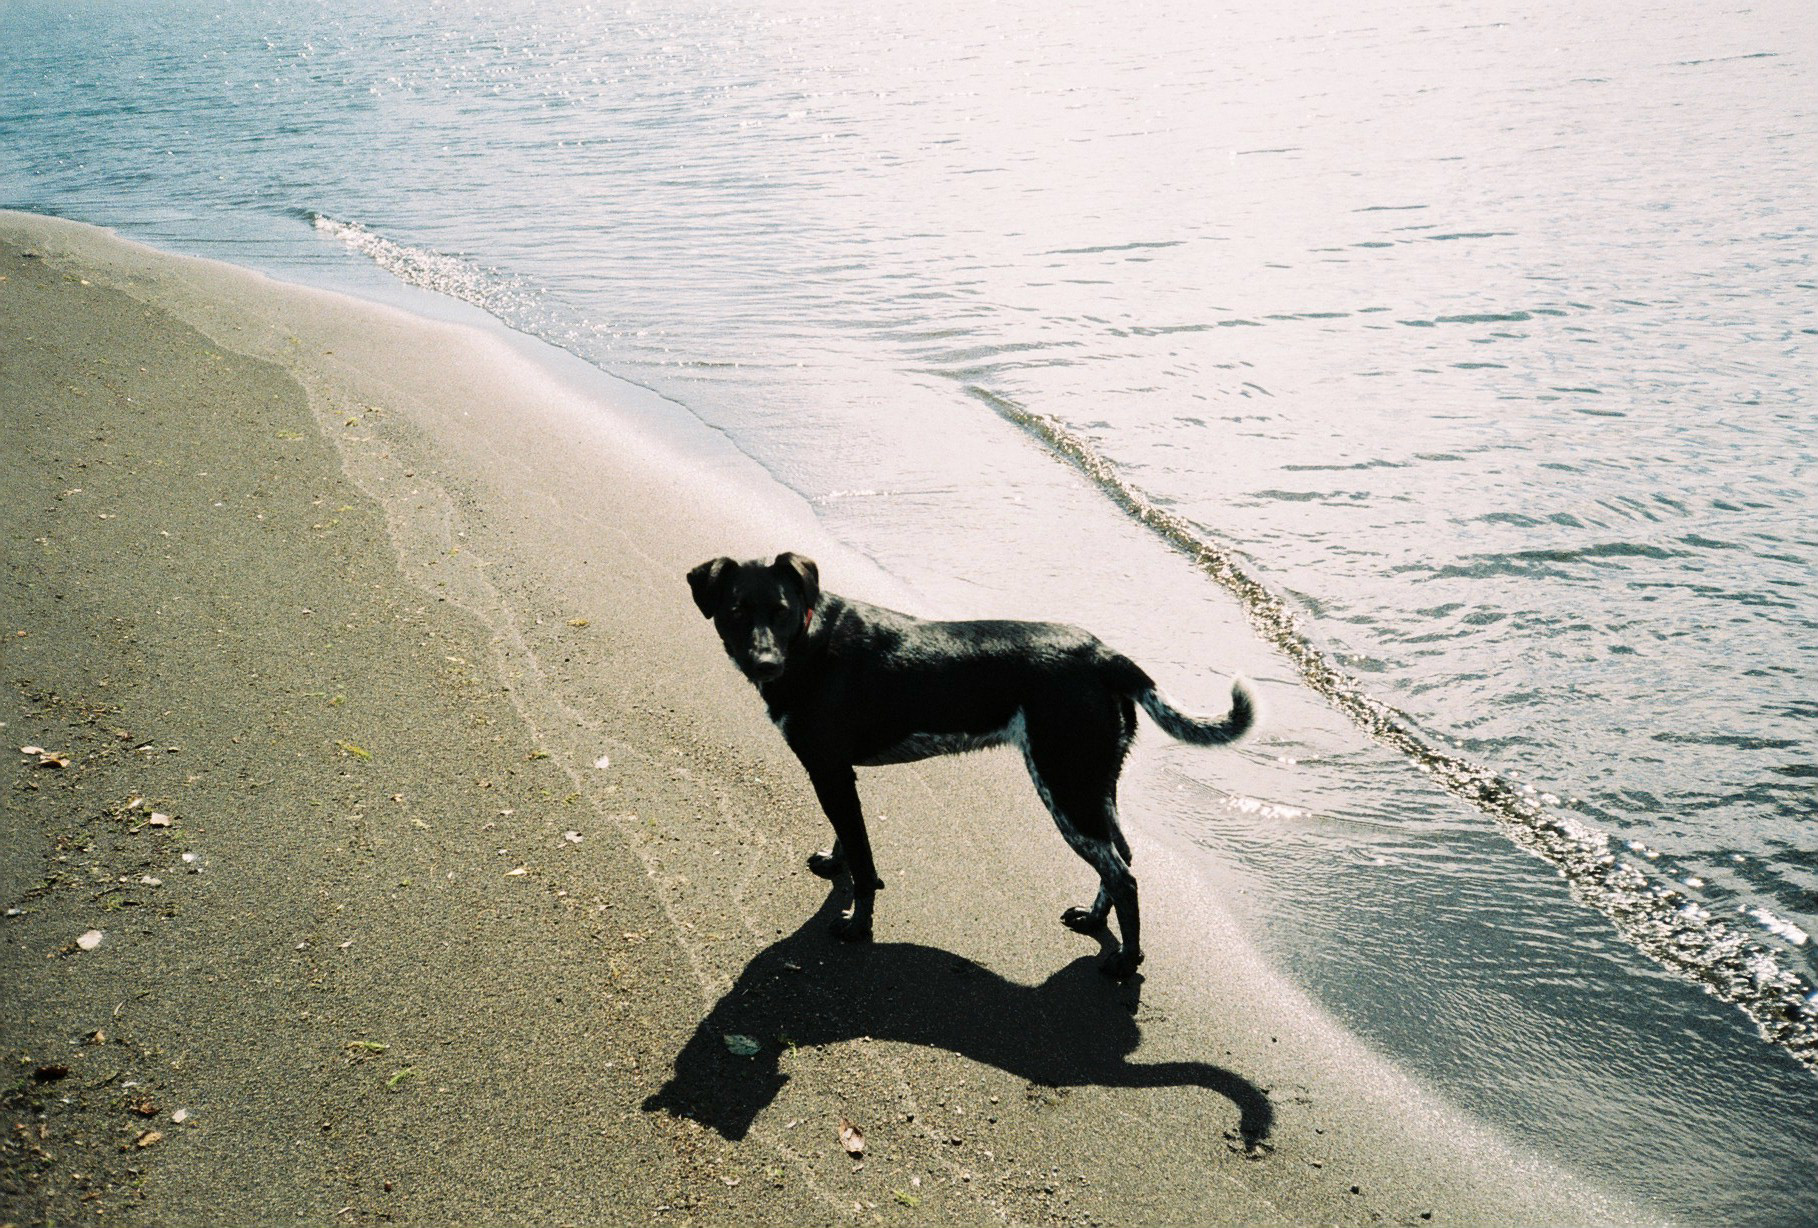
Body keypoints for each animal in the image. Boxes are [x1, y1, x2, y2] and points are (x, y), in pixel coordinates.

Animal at [688, 552, 1255, 979]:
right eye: (737, 610)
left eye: (781, 610)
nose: (766, 664)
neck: (811, 641)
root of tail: (1103, 654)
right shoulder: (838, 773)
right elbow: (847, 840)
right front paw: (835, 864)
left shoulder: (829, 770)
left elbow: (865, 863)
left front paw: (857, 926)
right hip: (1093, 784)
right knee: (1120, 859)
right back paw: (1095, 922)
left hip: (1064, 787)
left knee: (1124, 876)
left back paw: (1126, 962)